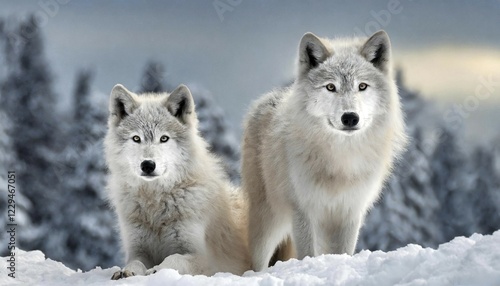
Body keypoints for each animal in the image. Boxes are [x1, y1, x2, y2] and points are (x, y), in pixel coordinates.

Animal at [104, 83, 250, 280]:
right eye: (136, 138)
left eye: (164, 138)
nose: (148, 165)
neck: (155, 202)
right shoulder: (138, 250)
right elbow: (135, 263)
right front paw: (126, 272)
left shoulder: (205, 258)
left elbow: (175, 258)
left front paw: (158, 271)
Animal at [240, 31, 408, 270]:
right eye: (330, 87)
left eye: (362, 86)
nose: (350, 117)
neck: (340, 160)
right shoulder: (304, 211)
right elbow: (308, 253)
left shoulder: (350, 212)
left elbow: (343, 252)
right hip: (269, 220)